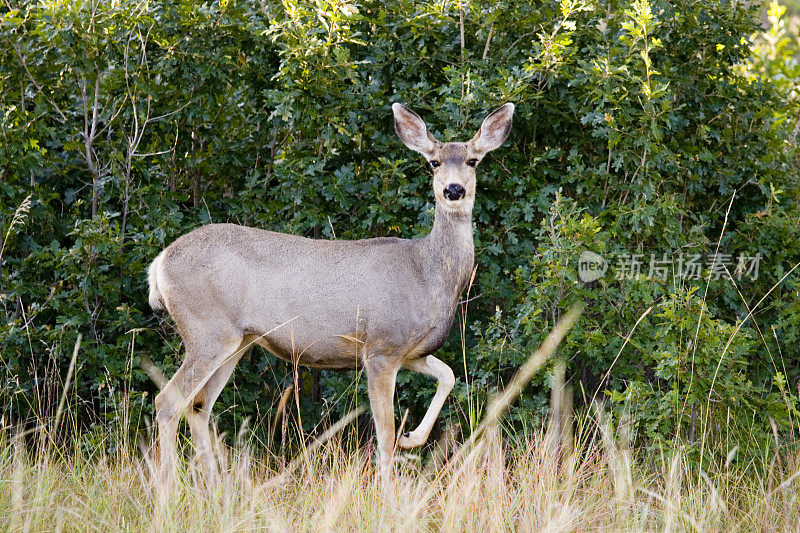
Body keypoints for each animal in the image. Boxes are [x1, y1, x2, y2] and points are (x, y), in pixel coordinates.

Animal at [147, 100, 516, 486]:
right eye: (434, 162)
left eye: (473, 160)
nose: (454, 190)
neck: (426, 273)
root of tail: (160, 263)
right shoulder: (381, 347)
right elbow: (384, 432)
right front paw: (388, 487)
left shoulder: (410, 351)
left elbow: (449, 375)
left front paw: (412, 437)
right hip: (207, 331)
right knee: (168, 401)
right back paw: (168, 487)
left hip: (236, 341)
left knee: (199, 406)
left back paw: (217, 486)